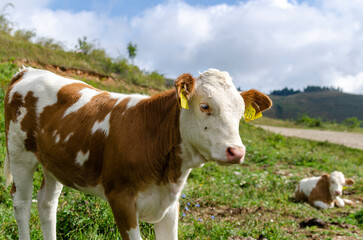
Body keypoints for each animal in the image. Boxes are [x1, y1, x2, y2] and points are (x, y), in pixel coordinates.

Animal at [3, 67, 272, 240]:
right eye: (205, 106)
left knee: (47, 203)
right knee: (22, 202)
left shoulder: (170, 204)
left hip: (55, 163)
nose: (236, 151)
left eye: (240, 113)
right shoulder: (121, 199)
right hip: (20, 154)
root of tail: (28, 71)